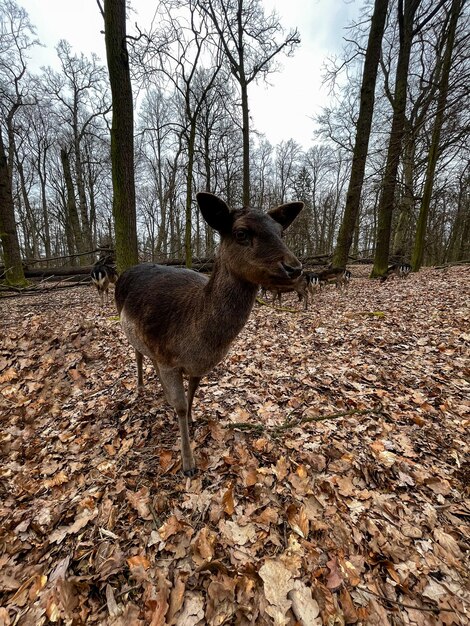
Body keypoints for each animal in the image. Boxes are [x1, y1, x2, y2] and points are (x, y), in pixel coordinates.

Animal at [115, 190, 302, 472]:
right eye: (241, 233)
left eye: (281, 232)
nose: (294, 267)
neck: (198, 341)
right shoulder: (168, 359)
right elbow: (180, 406)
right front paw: (188, 462)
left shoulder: (198, 365)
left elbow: (192, 393)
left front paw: (193, 418)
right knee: (137, 354)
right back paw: (140, 388)